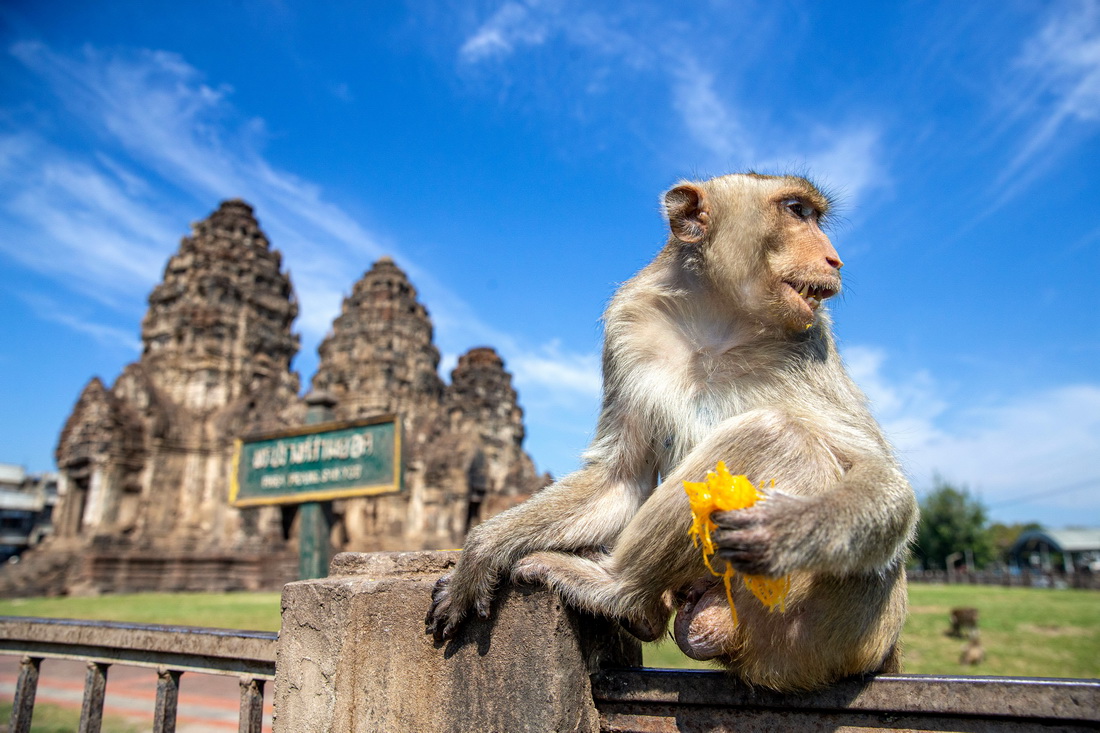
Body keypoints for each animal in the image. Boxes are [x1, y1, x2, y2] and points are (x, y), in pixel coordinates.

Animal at [424, 171, 915, 691]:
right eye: (797, 211)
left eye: (810, 214)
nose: (834, 259)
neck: (719, 320)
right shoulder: (629, 323)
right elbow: (619, 478)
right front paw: (481, 551)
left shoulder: (813, 340)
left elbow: (883, 477)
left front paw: (789, 527)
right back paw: (635, 605)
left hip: (830, 622)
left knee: (775, 434)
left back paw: (618, 590)